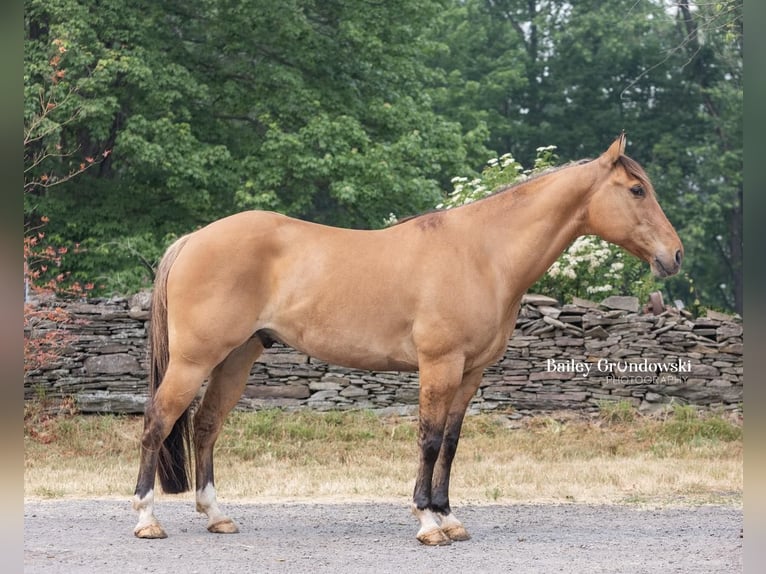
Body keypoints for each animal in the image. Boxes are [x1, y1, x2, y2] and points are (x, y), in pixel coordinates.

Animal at [132, 134, 684, 544]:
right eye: (636, 190)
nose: (675, 255)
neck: (483, 253)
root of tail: (193, 239)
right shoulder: (440, 364)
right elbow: (429, 438)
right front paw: (427, 521)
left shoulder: (471, 372)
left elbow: (452, 443)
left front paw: (449, 517)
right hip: (194, 360)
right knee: (159, 421)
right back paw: (146, 519)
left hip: (236, 358)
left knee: (205, 426)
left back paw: (216, 515)